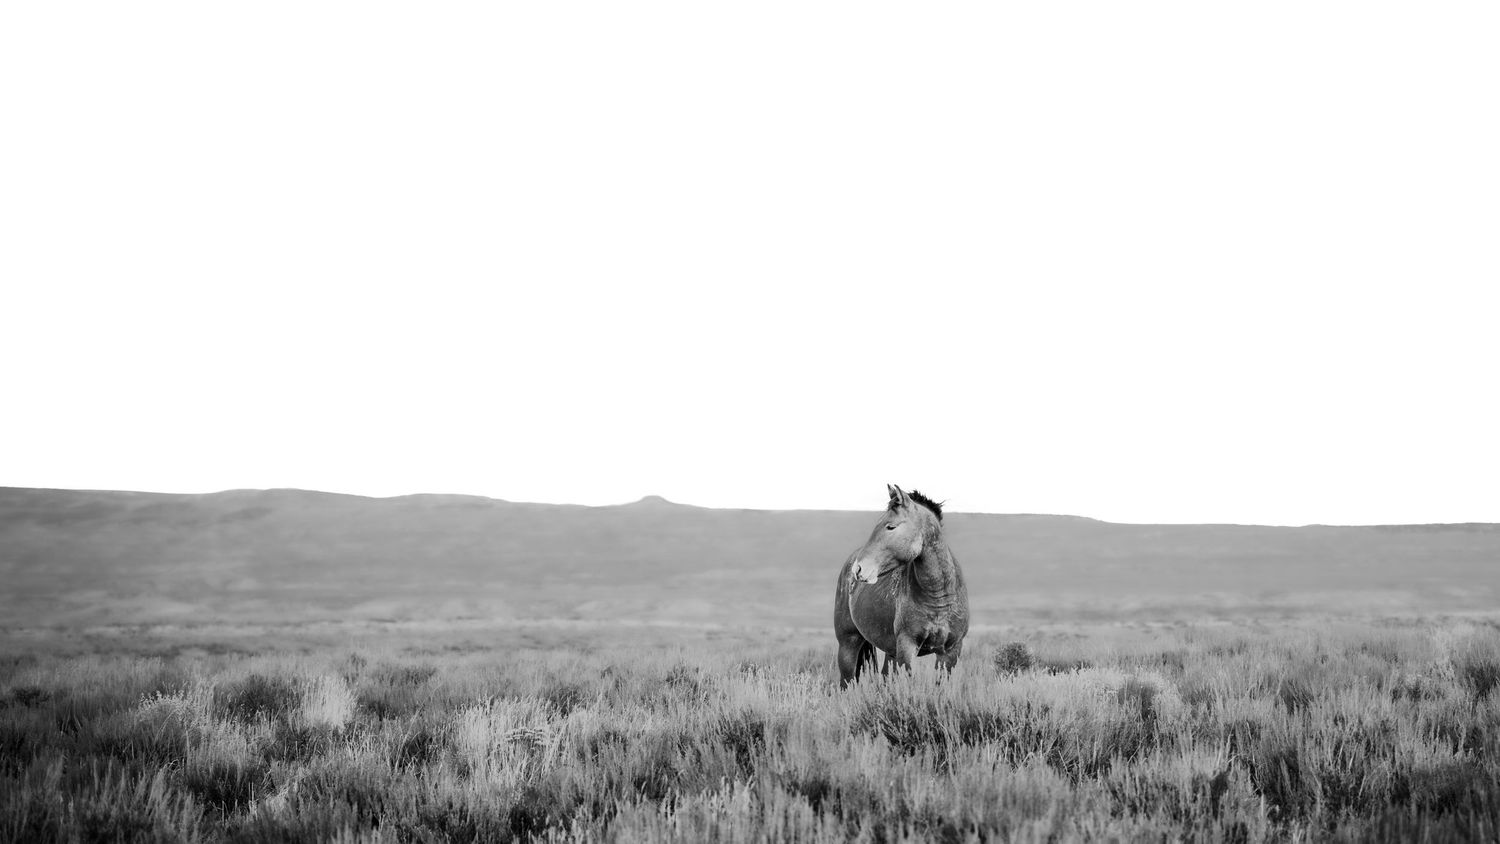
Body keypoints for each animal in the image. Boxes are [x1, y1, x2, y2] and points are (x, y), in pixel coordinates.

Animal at [835, 485, 970, 688]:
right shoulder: (907, 647)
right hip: (848, 643)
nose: (859, 569)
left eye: (891, 526)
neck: (937, 596)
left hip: (890, 651)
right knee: (847, 682)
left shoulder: (950, 651)